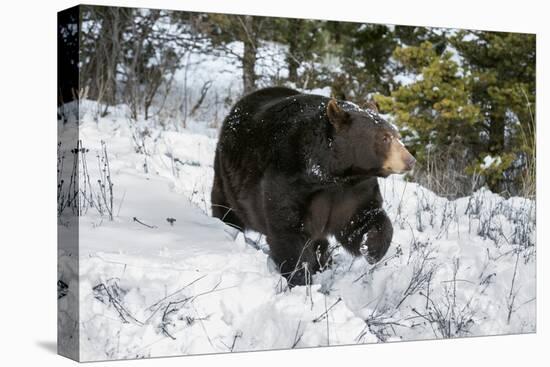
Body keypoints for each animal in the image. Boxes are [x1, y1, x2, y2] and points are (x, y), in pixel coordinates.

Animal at [213, 87, 416, 288]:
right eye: (384, 138)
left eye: (397, 135)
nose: (410, 160)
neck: (332, 174)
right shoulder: (289, 180)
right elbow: (288, 231)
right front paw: (301, 279)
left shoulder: (354, 190)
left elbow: (361, 219)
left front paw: (371, 248)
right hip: (227, 178)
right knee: (226, 208)